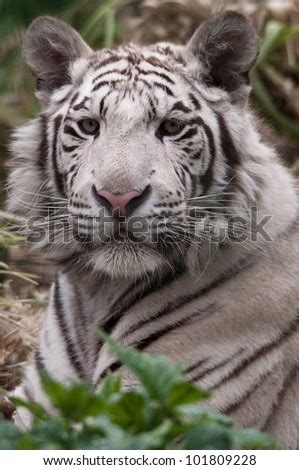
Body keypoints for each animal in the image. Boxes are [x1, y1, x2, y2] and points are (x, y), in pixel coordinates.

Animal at [7, 11, 299, 448]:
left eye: (171, 127)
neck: (97, 293)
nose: (119, 198)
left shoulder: (156, 411)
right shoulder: (39, 405)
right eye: (89, 126)